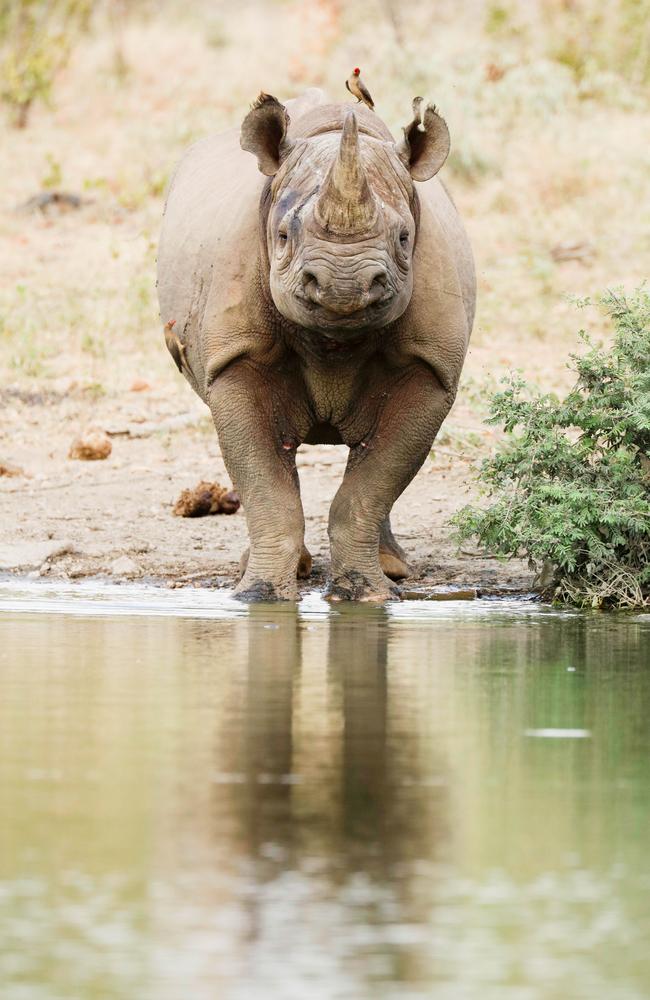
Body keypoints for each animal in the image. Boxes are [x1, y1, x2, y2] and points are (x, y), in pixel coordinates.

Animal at [154, 86, 474, 596]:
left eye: (405, 238)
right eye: (283, 235)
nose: (344, 285)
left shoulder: (430, 365)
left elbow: (374, 483)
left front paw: (365, 594)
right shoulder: (235, 356)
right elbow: (266, 486)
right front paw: (260, 594)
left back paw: (393, 567)